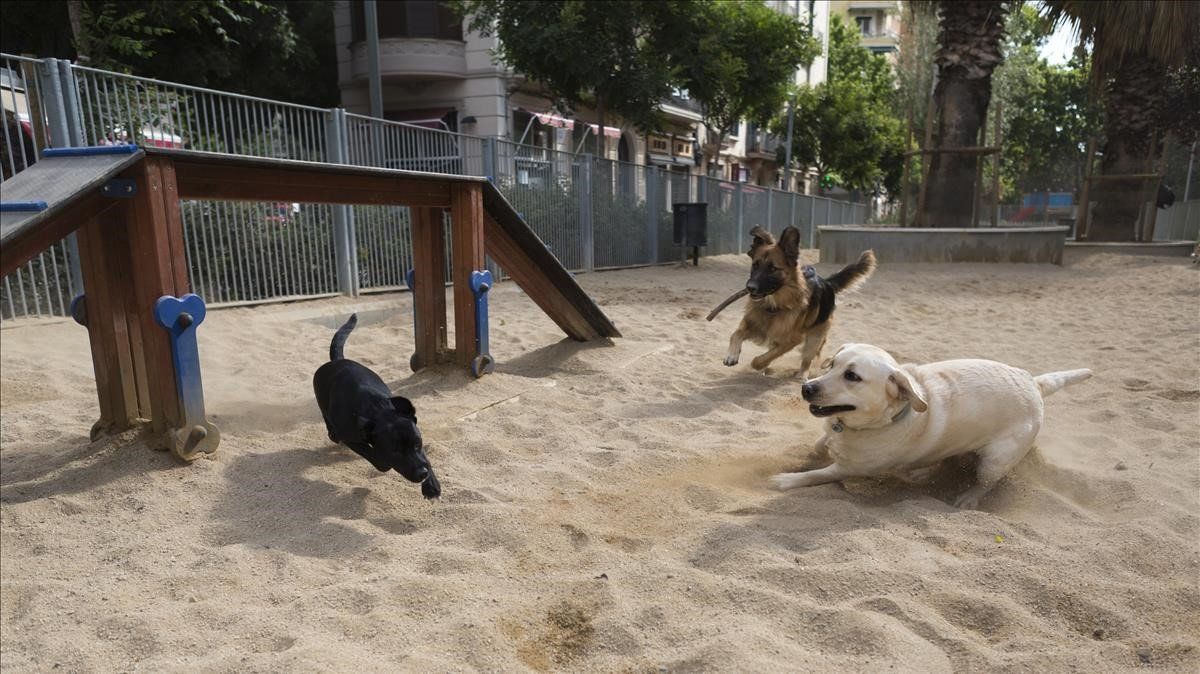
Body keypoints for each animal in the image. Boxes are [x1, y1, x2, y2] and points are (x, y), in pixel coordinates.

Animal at [314, 311, 441, 496]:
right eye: (395, 450)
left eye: (418, 443)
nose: (421, 473)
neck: (377, 409)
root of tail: (336, 361)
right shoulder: (350, 437)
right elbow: (374, 456)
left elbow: (426, 459)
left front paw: (432, 484)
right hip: (322, 401)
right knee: (326, 417)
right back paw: (332, 433)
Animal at [720, 224, 873, 371]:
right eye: (755, 265)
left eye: (772, 268)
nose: (750, 287)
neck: (773, 306)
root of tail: (827, 283)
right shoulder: (752, 323)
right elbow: (736, 333)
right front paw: (731, 355)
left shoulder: (792, 340)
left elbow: (759, 359)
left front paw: (760, 364)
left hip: (813, 340)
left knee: (807, 361)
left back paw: (802, 375)